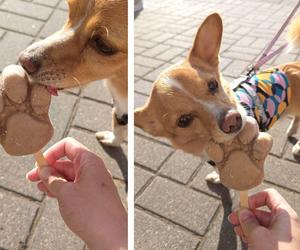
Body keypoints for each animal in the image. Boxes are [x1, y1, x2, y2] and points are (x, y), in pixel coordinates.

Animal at [18, 0, 126, 146]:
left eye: (103, 45)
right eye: (70, 11)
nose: (23, 61)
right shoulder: (120, 106)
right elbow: (119, 125)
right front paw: (113, 140)